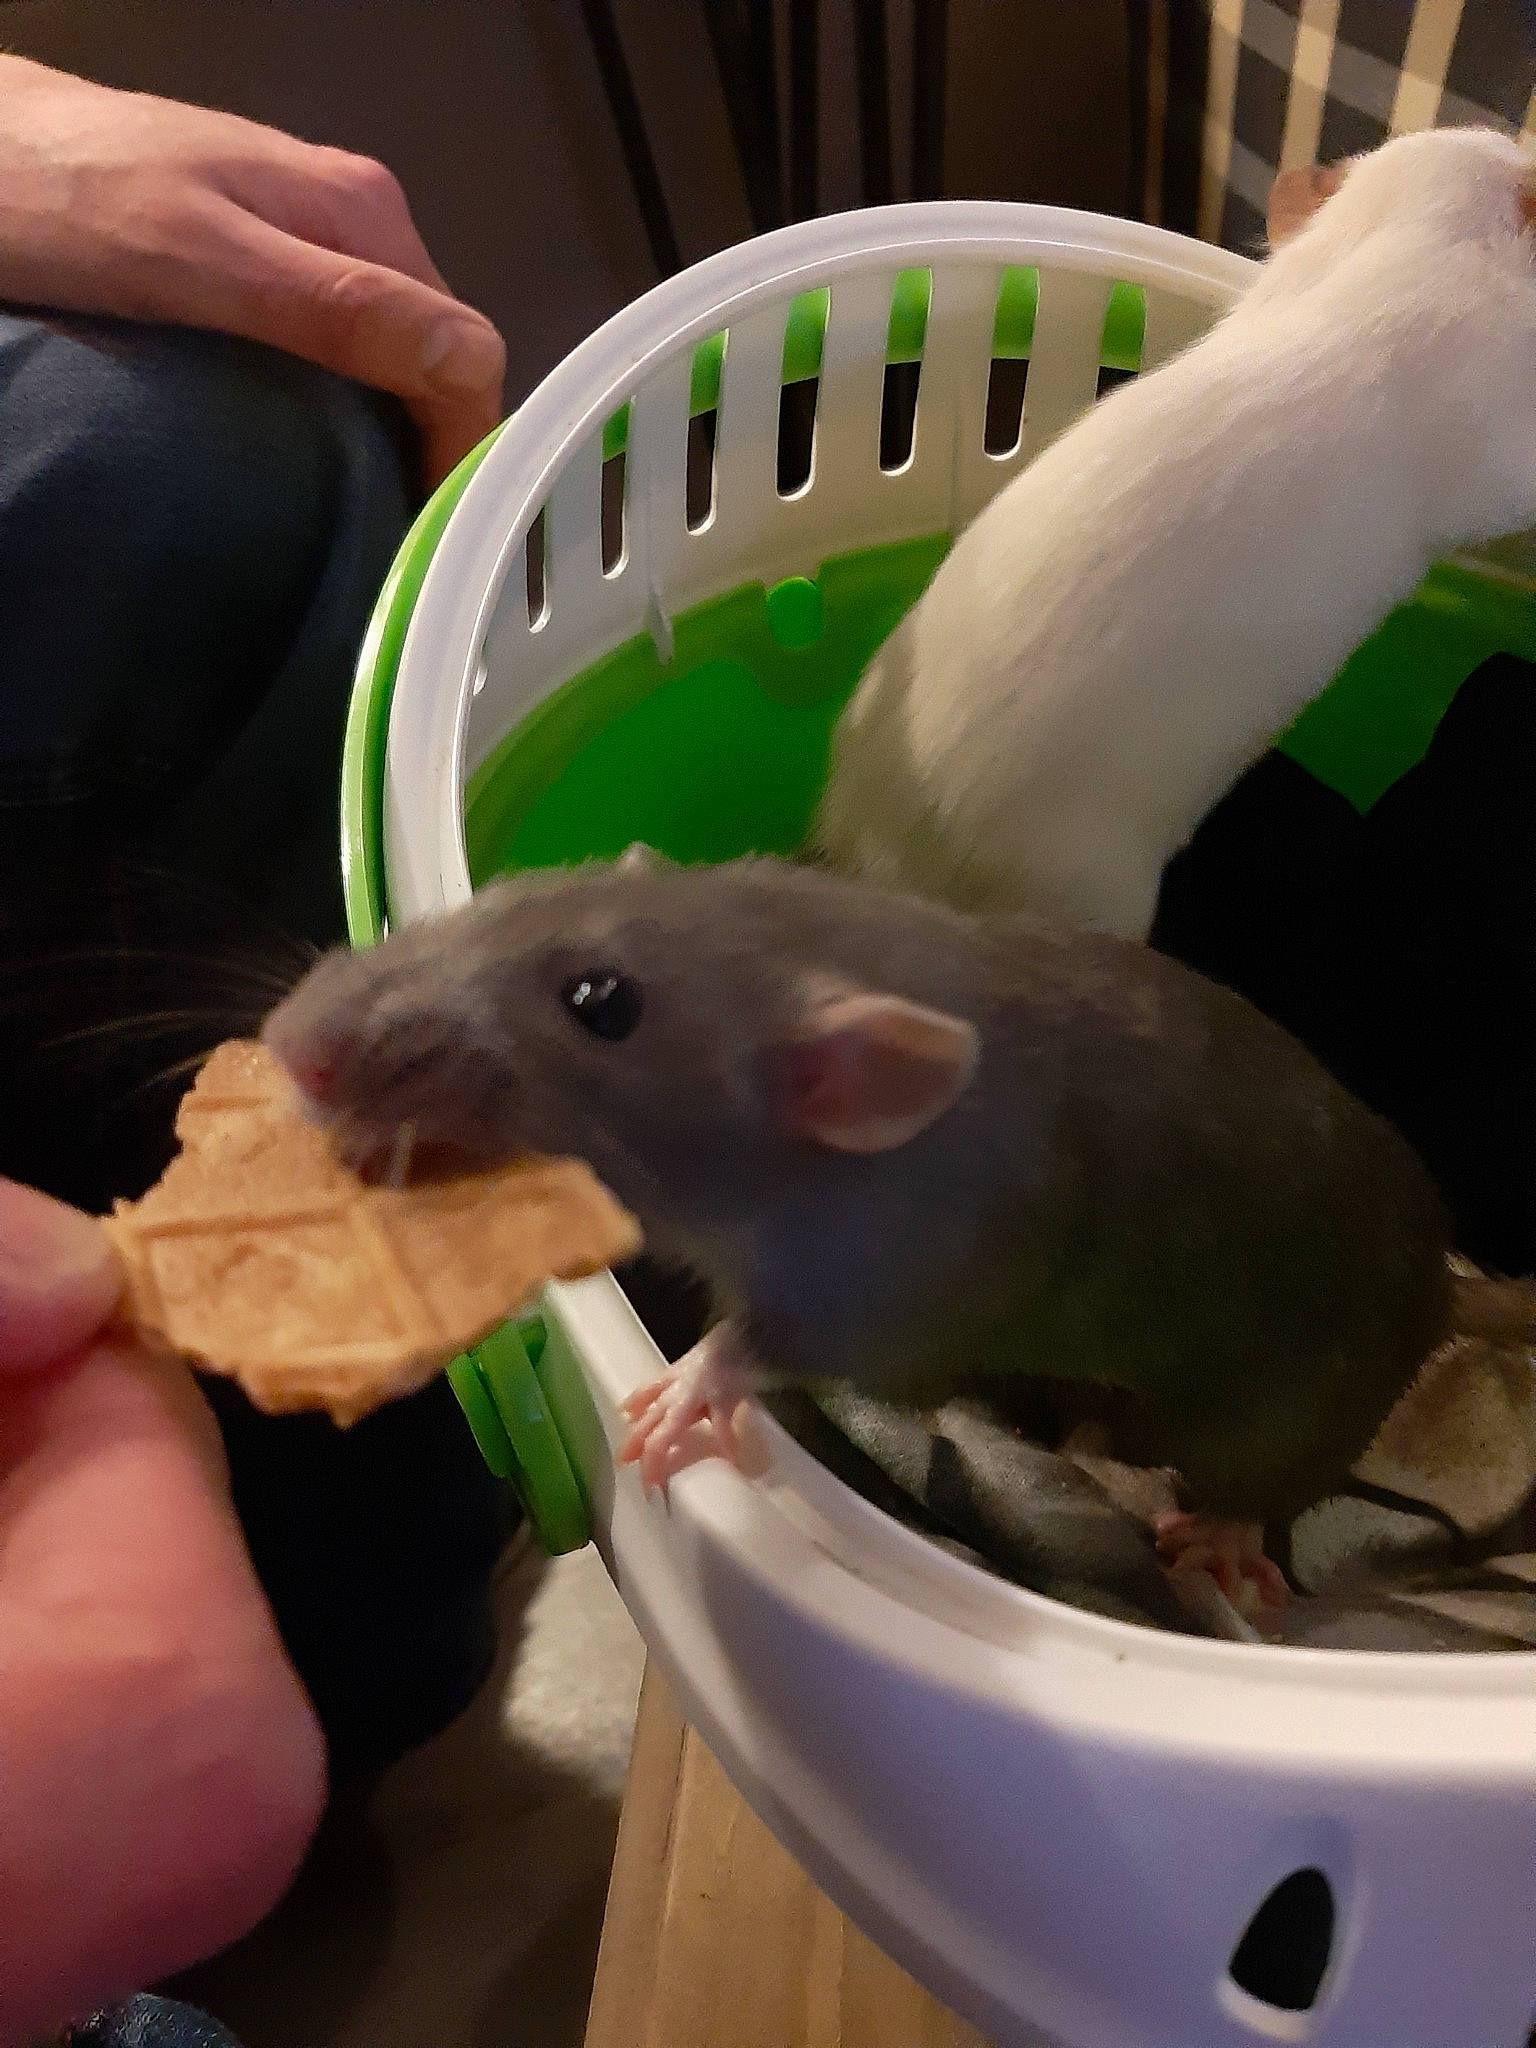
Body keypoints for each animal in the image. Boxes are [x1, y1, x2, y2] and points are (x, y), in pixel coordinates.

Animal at [262, 854, 1524, 1598]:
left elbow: (827, 1345)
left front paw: (695, 1383)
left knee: (1261, 1475)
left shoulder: (909, 1262)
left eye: (601, 1003)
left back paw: (1221, 1529)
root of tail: (1440, 1281)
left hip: (1301, 1398)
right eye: (511, 891)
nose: (293, 1047)